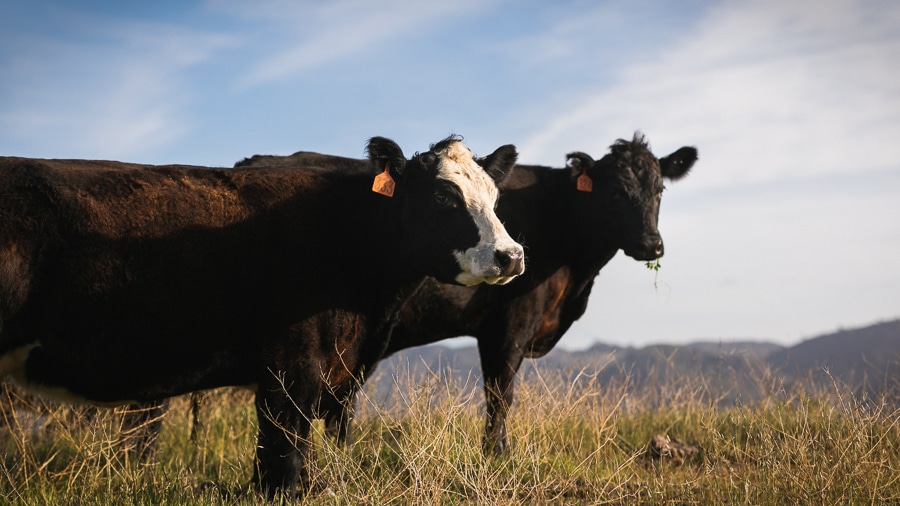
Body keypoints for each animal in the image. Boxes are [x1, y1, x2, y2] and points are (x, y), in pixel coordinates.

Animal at [230, 132, 696, 452]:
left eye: (660, 189)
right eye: (615, 192)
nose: (651, 245)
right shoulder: (510, 322)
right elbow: (500, 393)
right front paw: (497, 452)